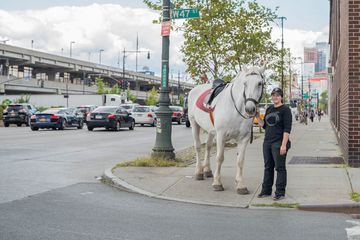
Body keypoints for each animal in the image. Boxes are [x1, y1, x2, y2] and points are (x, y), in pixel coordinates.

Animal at [188, 66, 264, 195]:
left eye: (260, 83)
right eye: (245, 83)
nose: (250, 109)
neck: (235, 108)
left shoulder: (244, 138)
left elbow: (240, 161)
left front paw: (240, 185)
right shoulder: (221, 135)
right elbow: (220, 158)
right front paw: (217, 183)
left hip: (210, 131)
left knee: (208, 147)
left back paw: (207, 170)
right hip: (194, 124)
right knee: (198, 147)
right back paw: (199, 172)